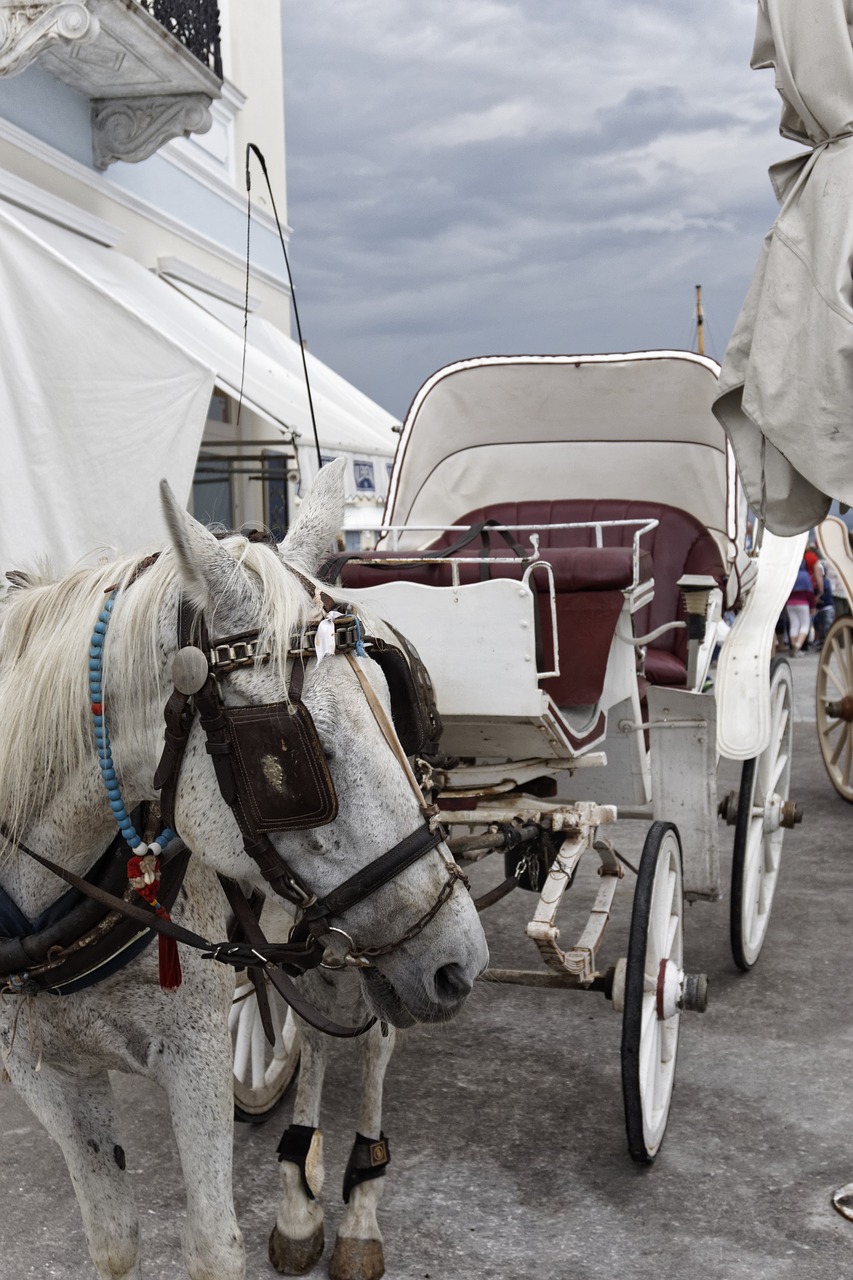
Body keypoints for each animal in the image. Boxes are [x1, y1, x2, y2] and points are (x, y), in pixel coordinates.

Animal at [0, 463, 484, 1280]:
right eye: (294, 754)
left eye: (387, 712)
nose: (462, 962)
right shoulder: (43, 1071)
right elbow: (113, 1240)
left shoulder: (193, 1058)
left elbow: (213, 1247)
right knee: (318, 1026)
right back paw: (299, 1192)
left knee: (371, 1037)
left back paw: (350, 1210)